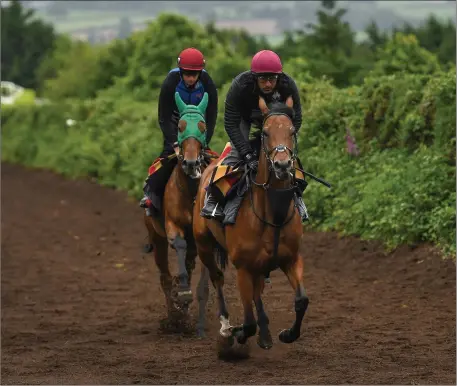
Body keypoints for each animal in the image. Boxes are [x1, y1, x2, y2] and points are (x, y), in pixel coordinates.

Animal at [143, 92, 213, 334]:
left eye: (202, 126)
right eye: (181, 126)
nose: (191, 163)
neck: (190, 190)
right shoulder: (172, 226)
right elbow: (179, 245)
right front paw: (180, 294)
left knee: (188, 264)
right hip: (156, 237)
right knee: (164, 276)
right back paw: (173, 317)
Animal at [192, 95, 306, 348]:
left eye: (292, 131)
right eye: (265, 132)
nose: (282, 165)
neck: (273, 214)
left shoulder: (291, 259)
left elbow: (302, 299)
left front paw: (287, 334)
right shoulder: (243, 267)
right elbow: (248, 321)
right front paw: (239, 333)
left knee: (257, 291)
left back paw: (265, 334)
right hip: (203, 245)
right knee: (217, 278)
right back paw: (226, 326)